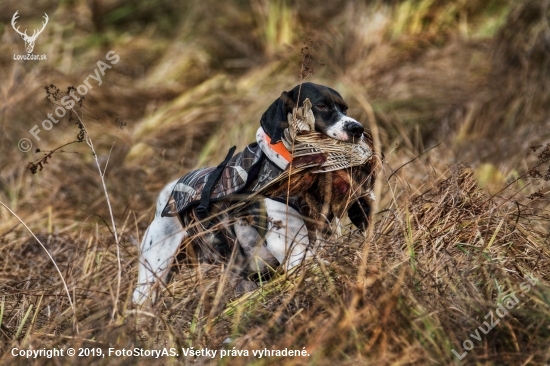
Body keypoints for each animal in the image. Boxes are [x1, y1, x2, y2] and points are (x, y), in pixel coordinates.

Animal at [134, 83, 378, 306]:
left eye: (345, 108)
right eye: (321, 106)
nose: (357, 129)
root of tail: (168, 193)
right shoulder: (294, 252)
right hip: (153, 271)